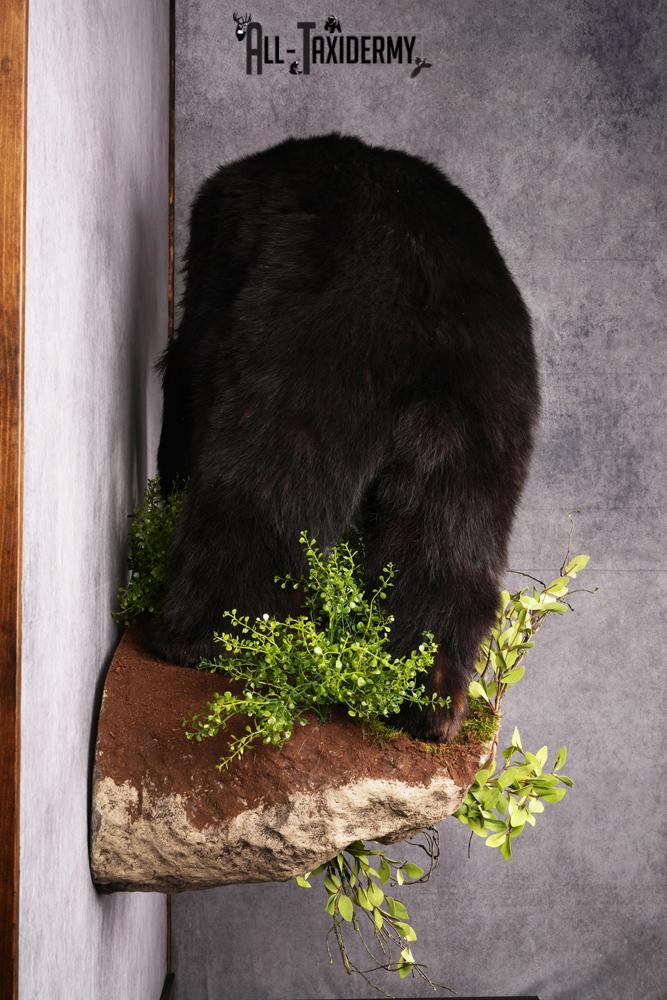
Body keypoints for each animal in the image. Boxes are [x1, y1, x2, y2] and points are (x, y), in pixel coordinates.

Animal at [145, 133, 540, 742]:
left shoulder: (223, 265)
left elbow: (191, 366)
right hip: (486, 420)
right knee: (450, 541)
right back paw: (427, 701)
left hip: (312, 355)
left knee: (266, 486)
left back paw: (198, 638)